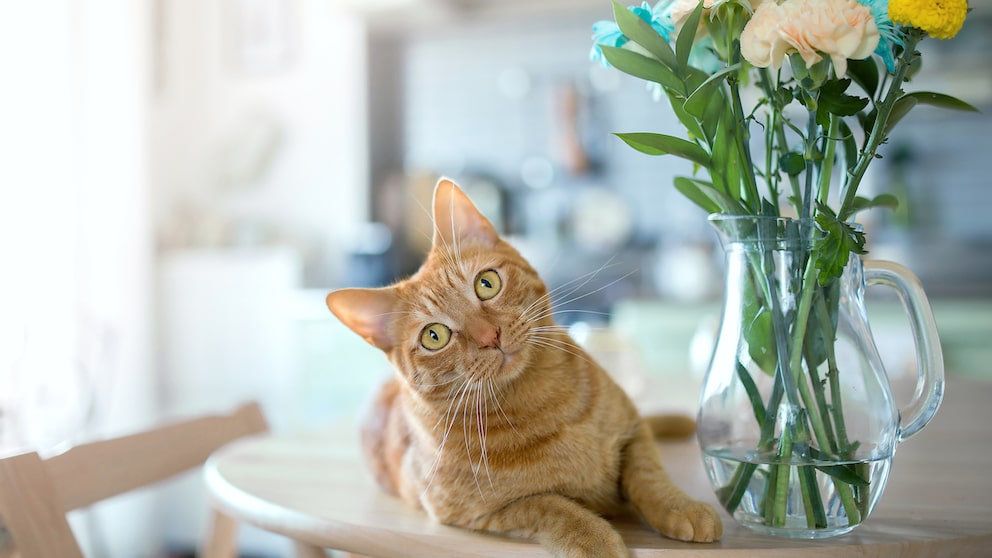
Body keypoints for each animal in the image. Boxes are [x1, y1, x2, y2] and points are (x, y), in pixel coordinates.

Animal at [326, 179, 720, 558]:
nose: (490, 336)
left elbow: (649, 476)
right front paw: (594, 540)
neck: (542, 401)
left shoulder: (633, 430)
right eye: (434, 336)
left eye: (486, 283)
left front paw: (682, 507)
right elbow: (553, 506)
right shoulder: (478, 513)